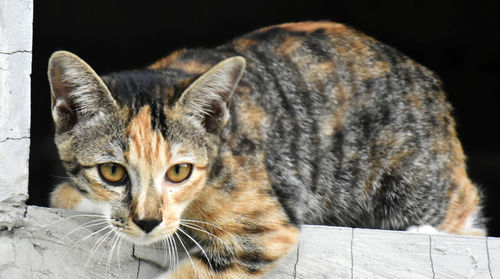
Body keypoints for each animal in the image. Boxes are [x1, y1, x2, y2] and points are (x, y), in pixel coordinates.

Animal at [47, 20, 484, 278]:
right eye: (113, 172)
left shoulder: (265, 227)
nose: (148, 221)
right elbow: (63, 197)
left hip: (410, 183)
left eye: (179, 172)